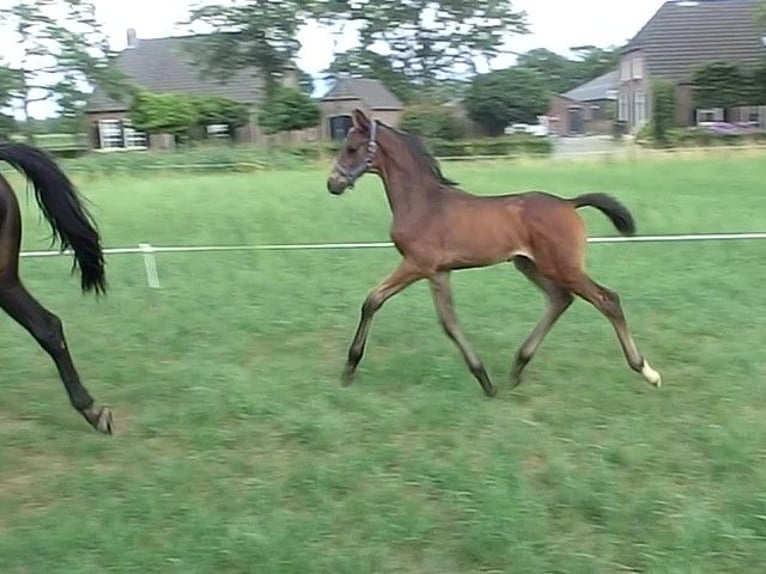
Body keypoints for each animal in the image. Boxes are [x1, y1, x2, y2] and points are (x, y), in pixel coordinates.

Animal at [326, 108, 662, 398]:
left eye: (352, 148)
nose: (333, 183)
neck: (422, 201)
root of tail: (569, 203)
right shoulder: (439, 272)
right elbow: (449, 323)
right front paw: (485, 380)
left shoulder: (417, 264)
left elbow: (372, 300)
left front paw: (349, 367)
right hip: (530, 265)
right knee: (560, 299)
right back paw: (518, 366)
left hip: (563, 267)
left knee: (607, 300)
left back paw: (647, 371)